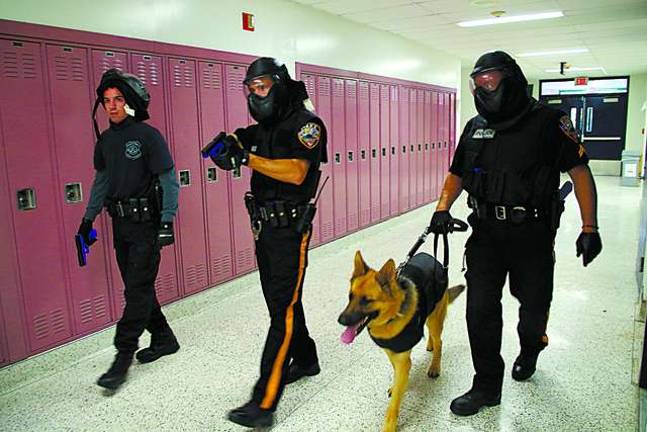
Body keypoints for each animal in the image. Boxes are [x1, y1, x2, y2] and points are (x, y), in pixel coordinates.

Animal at [336, 250, 464, 432]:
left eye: (367, 300)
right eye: (350, 297)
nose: (340, 320)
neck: (392, 315)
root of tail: (433, 259)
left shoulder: (403, 359)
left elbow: (394, 403)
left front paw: (389, 425)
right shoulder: (392, 353)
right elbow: (397, 375)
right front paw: (398, 384)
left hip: (435, 320)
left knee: (439, 341)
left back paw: (434, 366)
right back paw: (430, 345)